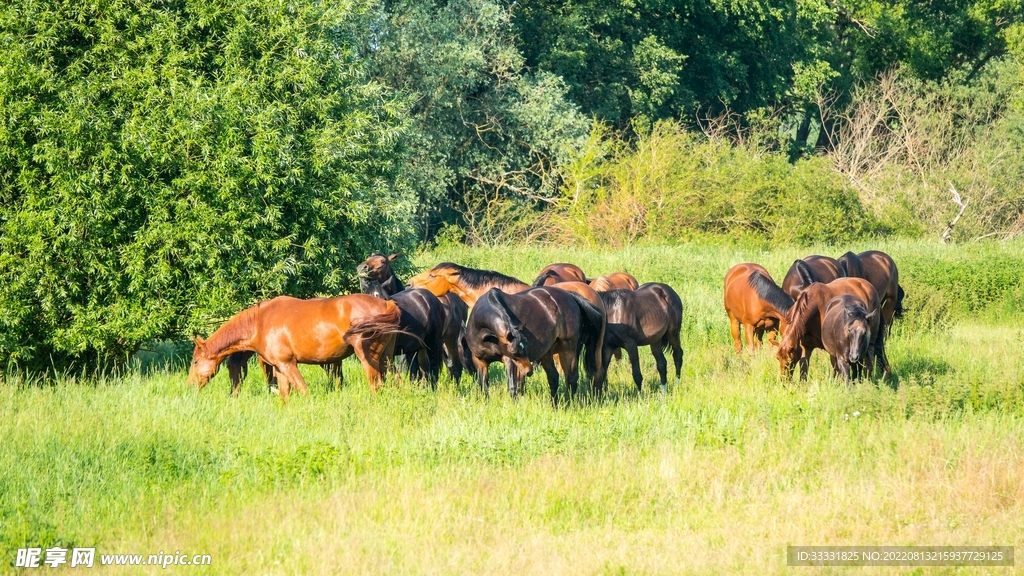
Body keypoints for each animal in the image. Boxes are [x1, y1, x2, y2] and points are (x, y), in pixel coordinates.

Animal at [187, 294, 405, 397]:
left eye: (196, 362)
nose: (189, 386)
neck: (259, 322)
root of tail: (386, 304)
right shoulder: (279, 368)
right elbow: (285, 394)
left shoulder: (289, 364)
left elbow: (303, 391)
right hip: (386, 359)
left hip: (369, 358)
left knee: (375, 385)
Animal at [459, 287, 603, 405]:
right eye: (516, 351)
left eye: (525, 346)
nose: (529, 371)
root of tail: (570, 296)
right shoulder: (480, 361)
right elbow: (484, 386)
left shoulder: (509, 360)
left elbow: (512, 387)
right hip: (547, 353)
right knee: (554, 377)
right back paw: (554, 405)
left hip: (568, 348)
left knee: (571, 378)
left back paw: (570, 404)